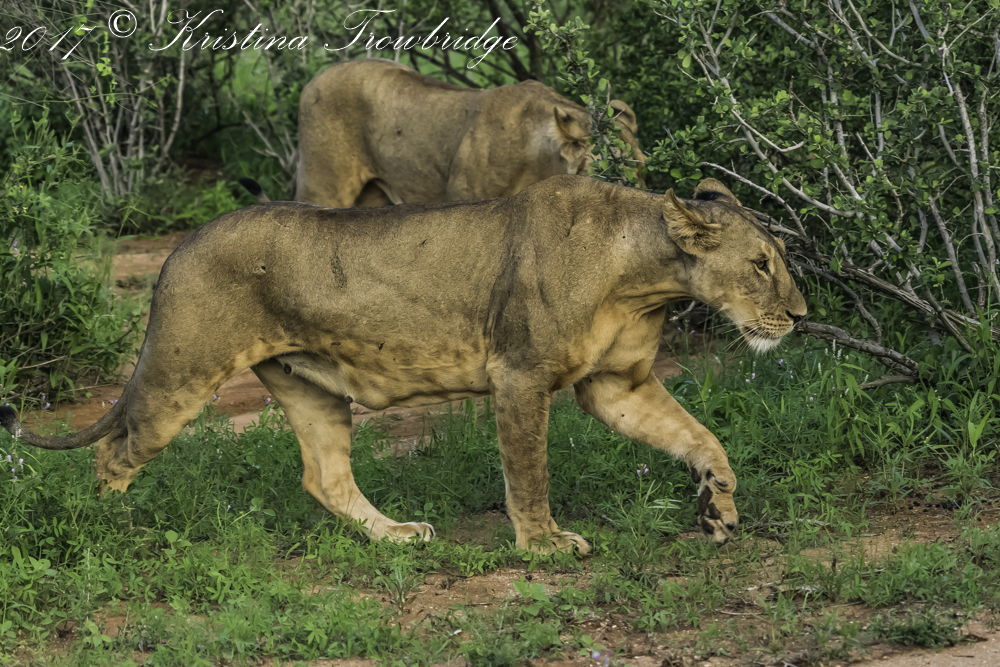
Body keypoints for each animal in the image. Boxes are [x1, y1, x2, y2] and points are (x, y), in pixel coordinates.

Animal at [0, 176, 805, 553]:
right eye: (762, 265)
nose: (800, 316)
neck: (644, 276)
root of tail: (179, 247)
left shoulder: (618, 385)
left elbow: (702, 439)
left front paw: (719, 508)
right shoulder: (520, 373)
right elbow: (529, 472)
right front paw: (544, 546)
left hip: (310, 386)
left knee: (324, 477)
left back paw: (394, 536)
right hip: (179, 373)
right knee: (113, 449)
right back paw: (106, 532)